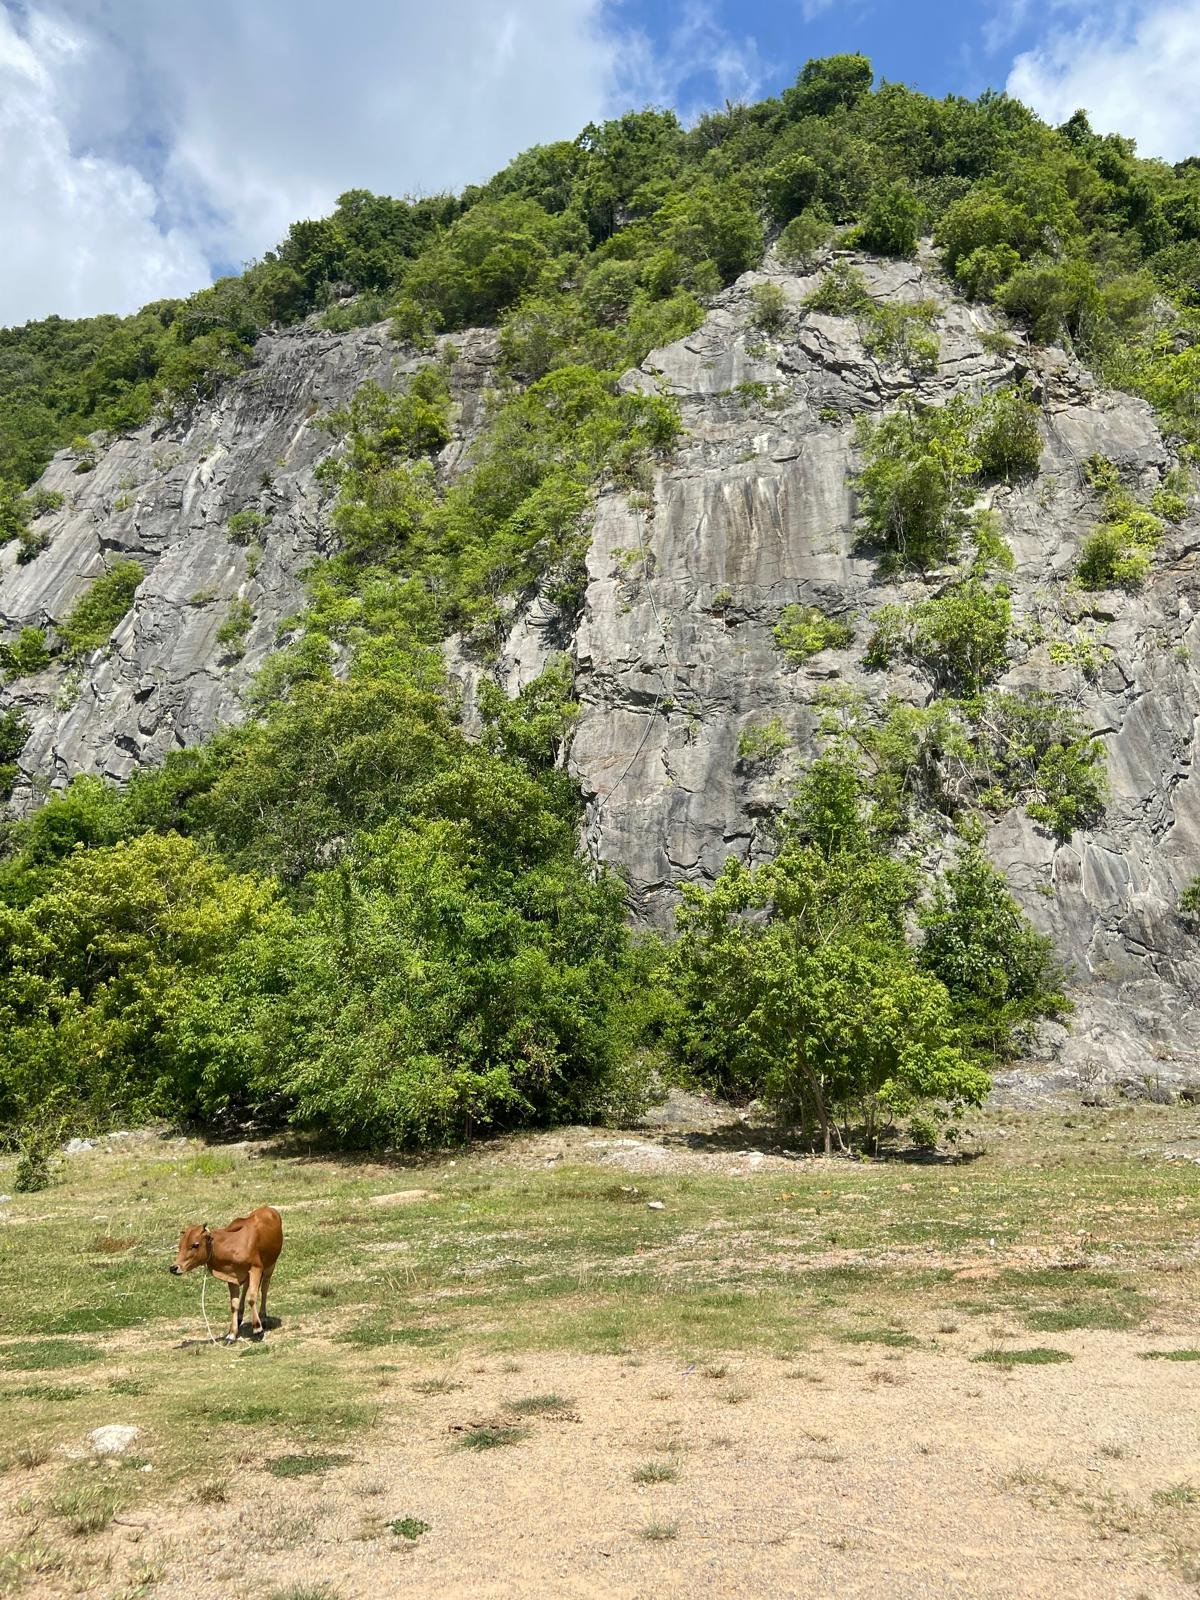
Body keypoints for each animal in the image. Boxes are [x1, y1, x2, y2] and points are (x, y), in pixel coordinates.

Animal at [170, 1206, 283, 1343]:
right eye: (180, 1245)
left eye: (195, 1244)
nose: (174, 1268)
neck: (230, 1245)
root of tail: (268, 1208)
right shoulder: (231, 1275)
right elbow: (234, 1303)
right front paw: (232, 1334)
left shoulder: (256, 1268)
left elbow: (252, 1298)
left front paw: (258, 1330)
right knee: (246, 1287)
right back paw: (240, 1317)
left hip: (270, 1264)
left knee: (265, 1287)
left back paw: (263, 1317)